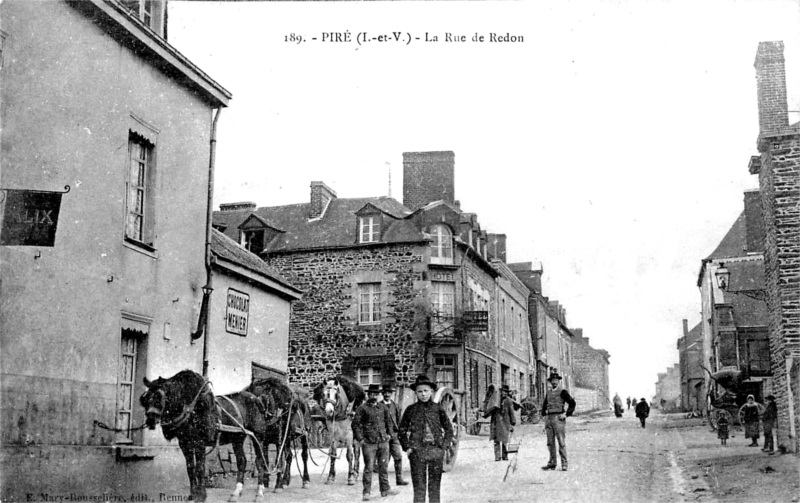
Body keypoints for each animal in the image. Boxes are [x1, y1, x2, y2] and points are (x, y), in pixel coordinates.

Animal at [140, 368, 216, 502]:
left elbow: (200, 468)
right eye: (145, 398)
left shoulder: (200, 442)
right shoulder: (184, 443)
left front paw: (201, 495)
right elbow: (190, 468)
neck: (190, 409)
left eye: (159, 396)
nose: (150, 420)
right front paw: (193, 493)